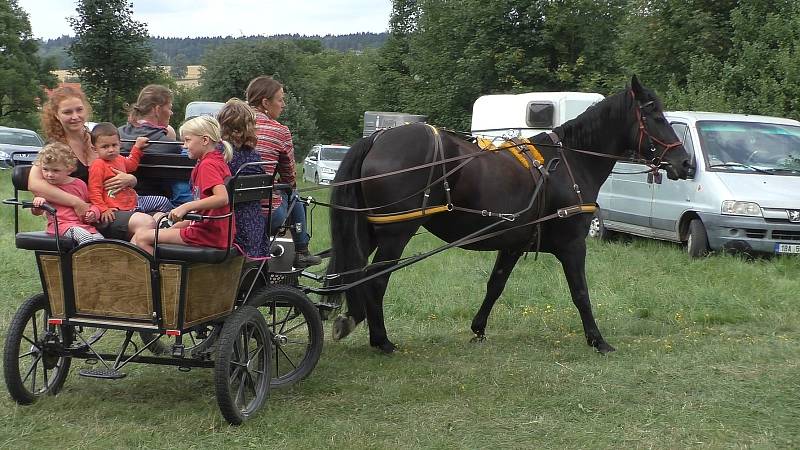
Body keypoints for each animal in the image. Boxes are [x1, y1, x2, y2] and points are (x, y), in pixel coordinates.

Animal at [324, 77, 692, 354]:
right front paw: (597, 340)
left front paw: (478, 329)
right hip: (395, 233)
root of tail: (377, 138)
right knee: (375, 279)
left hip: (369, 230)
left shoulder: (513, 242)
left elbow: (495, 285)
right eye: (657, 117)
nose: (686, 163)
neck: (569, 162)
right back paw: (381, 340)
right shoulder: (573, 244)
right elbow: (581, 293)